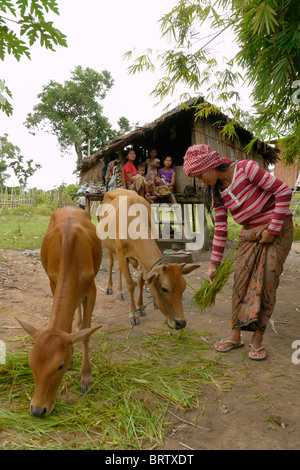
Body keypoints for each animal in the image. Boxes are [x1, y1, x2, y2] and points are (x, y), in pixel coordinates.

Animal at [17, 207, 102, 416]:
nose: (37, 410)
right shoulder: (52, 283)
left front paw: (86, 377)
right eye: (30, 362)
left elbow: (87, 332)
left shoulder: (92, 289)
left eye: (60, 366)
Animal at [96, 189, 199, 328]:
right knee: (111, 263)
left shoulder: (141, 260)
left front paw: (140, 307)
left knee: (118, 268)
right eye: (164, 289)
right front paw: (133, 314)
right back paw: (109, 288)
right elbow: (130, 284)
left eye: (183, 288)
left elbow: (140, 281)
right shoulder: (122, 253)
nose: (181, 323)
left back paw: (120, 292)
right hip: (108, 244)